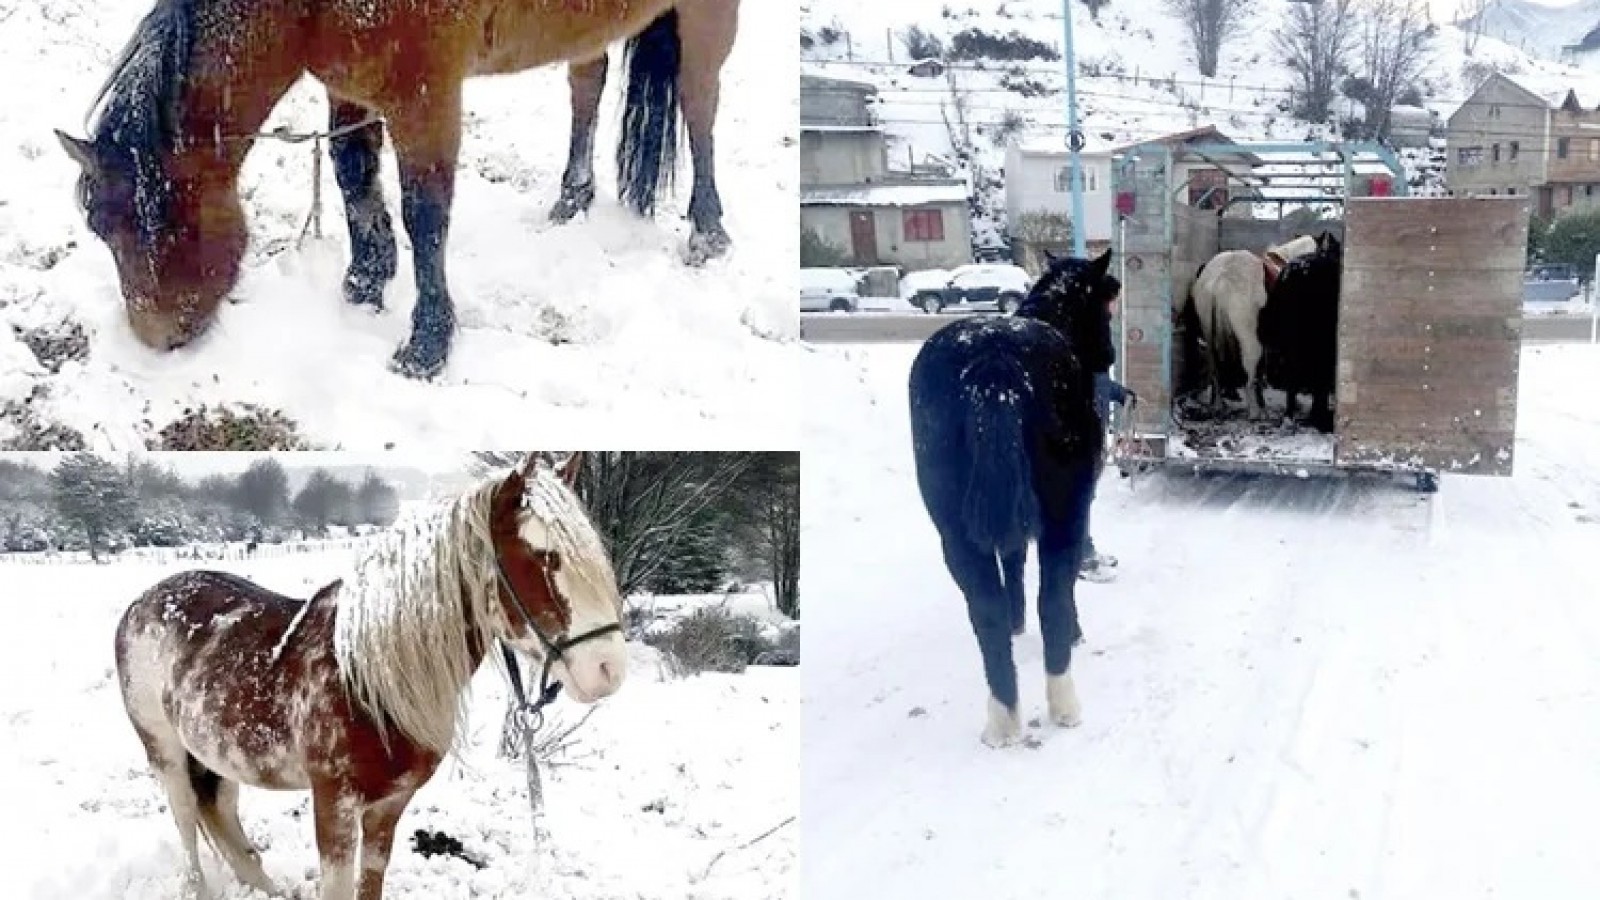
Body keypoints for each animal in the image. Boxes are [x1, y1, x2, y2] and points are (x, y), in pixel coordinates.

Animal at [55, 0, 741, 379]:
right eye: (100, 229)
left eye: (176, 221)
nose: (158, 339)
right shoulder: (348, 86)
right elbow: (352, 173)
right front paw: (365, 280)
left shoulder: (428, 98)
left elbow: (424, 214)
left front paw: (426, 344)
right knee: (587, 81)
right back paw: (572, 196)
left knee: (700, 105)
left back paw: (707, 231)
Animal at [112, 452, 626, 900]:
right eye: (542, 558)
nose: (609, 670)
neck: (365, 678)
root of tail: (141, 602)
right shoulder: (334, 807)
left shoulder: (387, 809)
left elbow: (371, 884)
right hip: (165, 750)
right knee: (185, 821)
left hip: (217, 754)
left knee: (219, 813)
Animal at [908, 250, 1119, 748]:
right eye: (1106, 305)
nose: (1110, 355)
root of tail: (994, 363)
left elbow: (1013, 565)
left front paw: (1016, 618)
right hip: (1063, 515)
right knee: (1053, 600)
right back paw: (1064, 704)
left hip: (955, 531)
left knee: (985, 611)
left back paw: (1002, 718)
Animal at [1188, 234, 1318, 418]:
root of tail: (1222, 278)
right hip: (1249, 338)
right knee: (1248, 371)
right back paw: (1255, 412)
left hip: (1209, 333)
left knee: (1214, 368)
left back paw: (1220, 405)